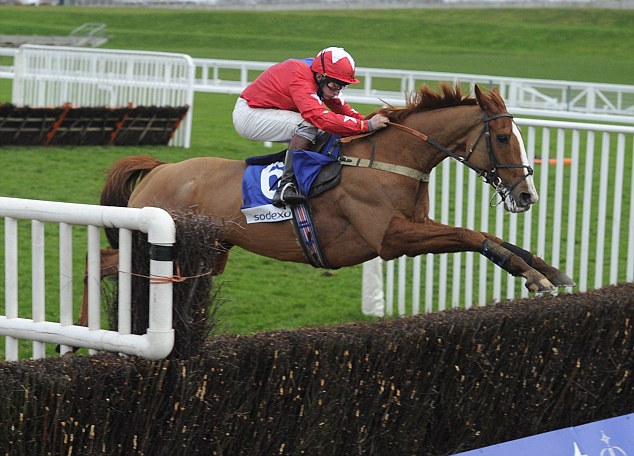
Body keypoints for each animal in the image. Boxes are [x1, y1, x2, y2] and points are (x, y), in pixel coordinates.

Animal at [79, 84, 572, 324]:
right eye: (504, 137)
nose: (527, 195)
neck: (391, 160)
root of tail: (160, 168)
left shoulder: (416, 223)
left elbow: (487, 235)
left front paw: (547, 272)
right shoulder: (392, 238)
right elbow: (470, 234)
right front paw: (533, 276)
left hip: (205, 252)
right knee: (97, 264)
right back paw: (77, 336)